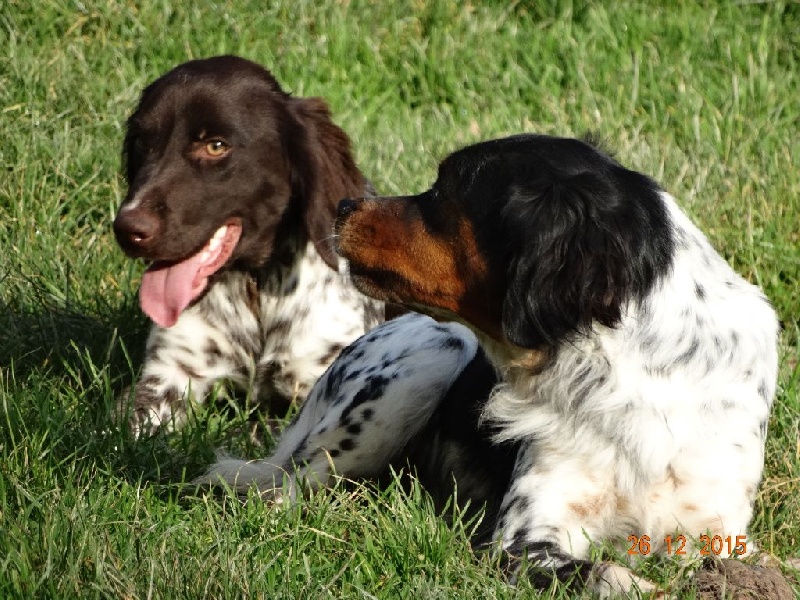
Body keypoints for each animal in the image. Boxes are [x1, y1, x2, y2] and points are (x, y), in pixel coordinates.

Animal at [205, 135, 776, 596]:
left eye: (443, 192)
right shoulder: (524, 539)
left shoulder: (719, 529)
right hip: (421, 368)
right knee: (285, 486)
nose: (343, 204)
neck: (632, 374)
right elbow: (606, 572)